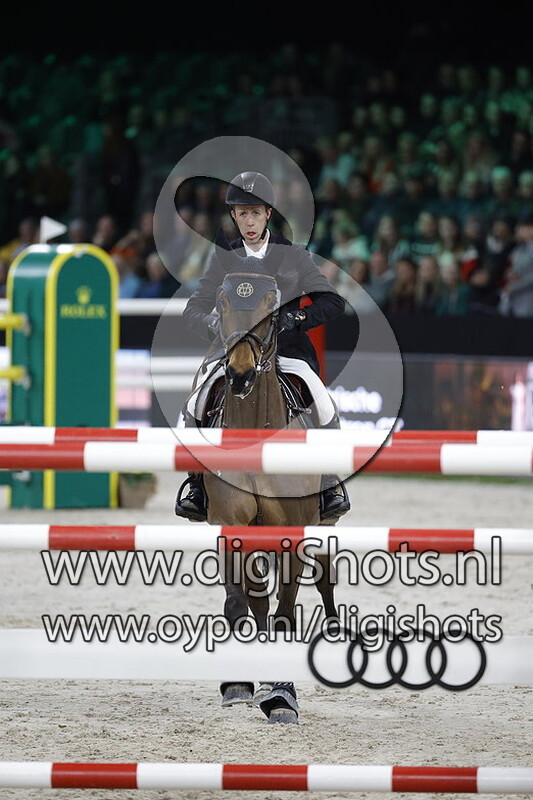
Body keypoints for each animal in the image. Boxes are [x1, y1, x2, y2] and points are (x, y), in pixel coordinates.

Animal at [185, 263, 340, 724]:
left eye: (273, 305)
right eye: (221, 302)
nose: (240, 374)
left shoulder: (293, 532)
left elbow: (285, 614)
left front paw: (283, 697)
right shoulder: (231, 525)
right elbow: (240, 606)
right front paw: (241, 684)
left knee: (324, 579)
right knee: (255, 601)